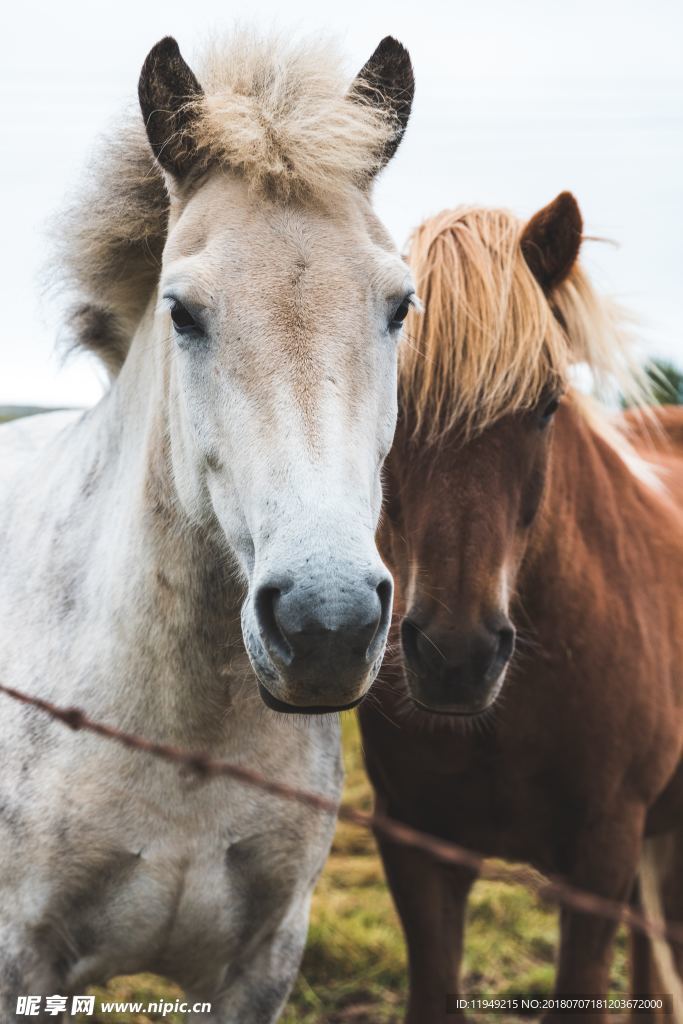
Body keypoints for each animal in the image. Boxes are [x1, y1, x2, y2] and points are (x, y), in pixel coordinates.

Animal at [0, 28, 417, 1019]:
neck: (188, 746)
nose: (326, 625)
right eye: (182, 311)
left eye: (399, 305)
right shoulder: (21, 961)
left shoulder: (261, 962)